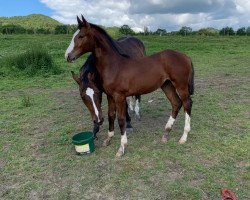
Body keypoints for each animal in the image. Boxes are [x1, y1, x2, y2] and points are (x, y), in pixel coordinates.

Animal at [65, 16, 194, 156]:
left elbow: (121, 119)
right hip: (167, 85)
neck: (114, 66)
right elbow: (111, 115)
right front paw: (108, 139)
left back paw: (184, 137)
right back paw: (166, 133)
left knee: (187, 104)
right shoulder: (110, 96)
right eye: (83, 97)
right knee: (176, 103)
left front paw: (121, 148)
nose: (68, 55)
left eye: (81, 36)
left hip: (181, 85)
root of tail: (185, 56)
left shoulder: (119, 96)